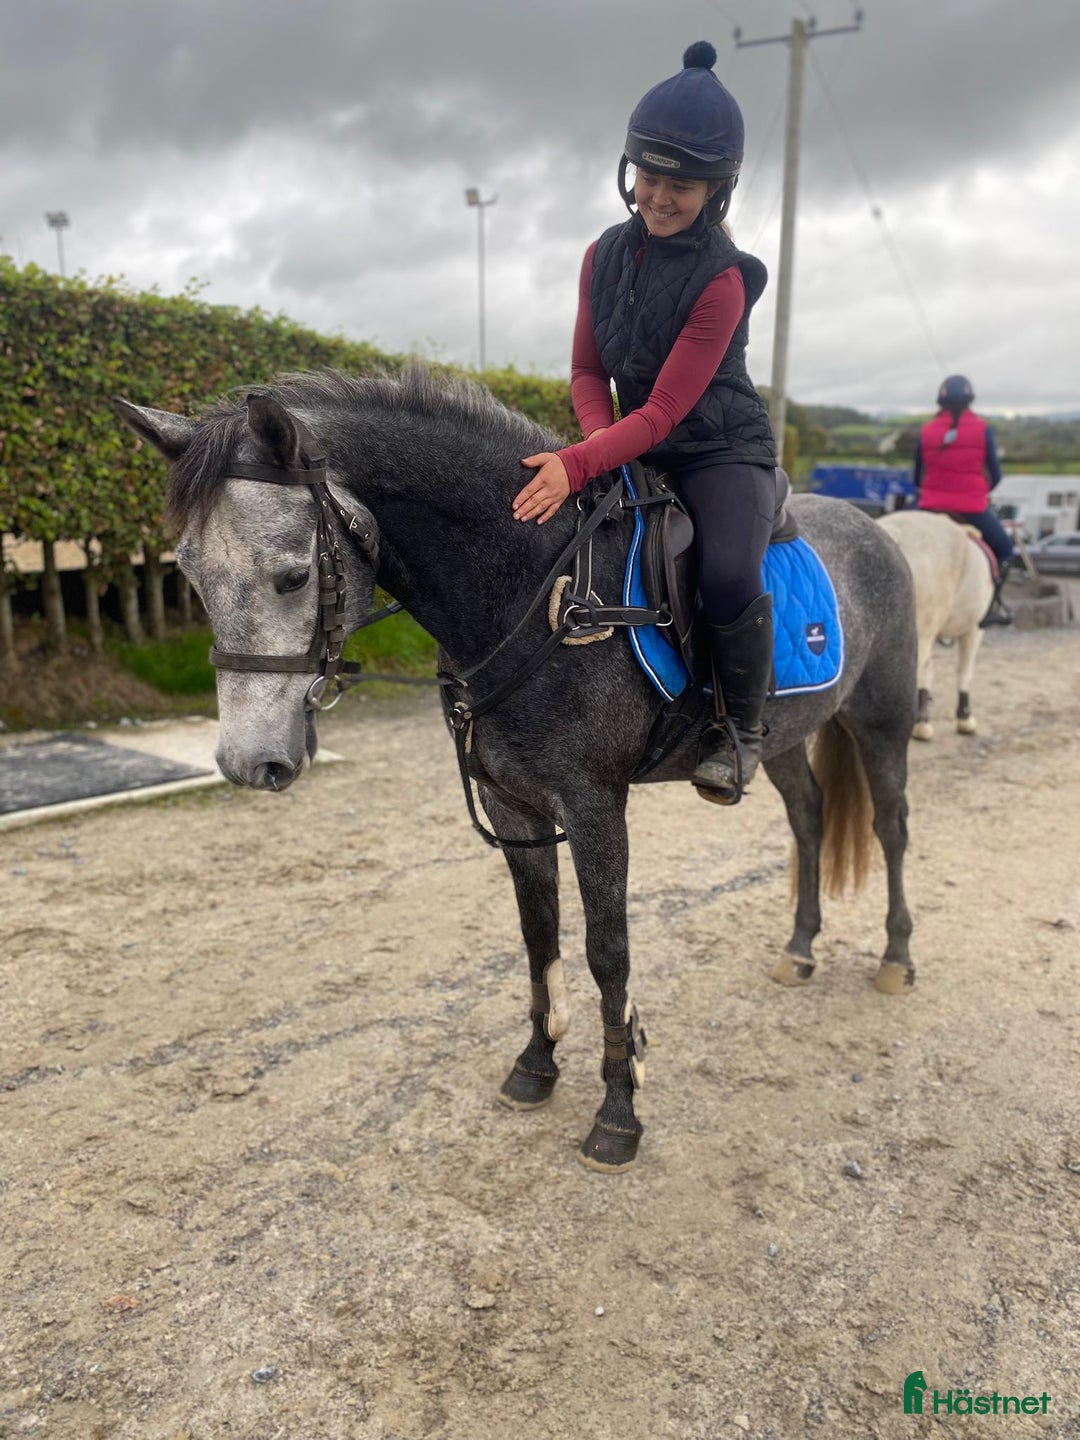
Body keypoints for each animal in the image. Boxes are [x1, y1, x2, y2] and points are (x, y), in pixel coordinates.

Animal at [115, 367, 918, 1173]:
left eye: (291, 577)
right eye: (189, 574)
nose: (248, 762)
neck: (542, 593)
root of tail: (878, 528)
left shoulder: (594, 808)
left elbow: (607, 951)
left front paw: (619, 1108)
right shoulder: (514, 806)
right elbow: (540, 934)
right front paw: (537, 1064)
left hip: (881, 721)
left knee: (890, 828)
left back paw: (896, 957)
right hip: (784, 739)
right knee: (811, 819)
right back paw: (801, 950)